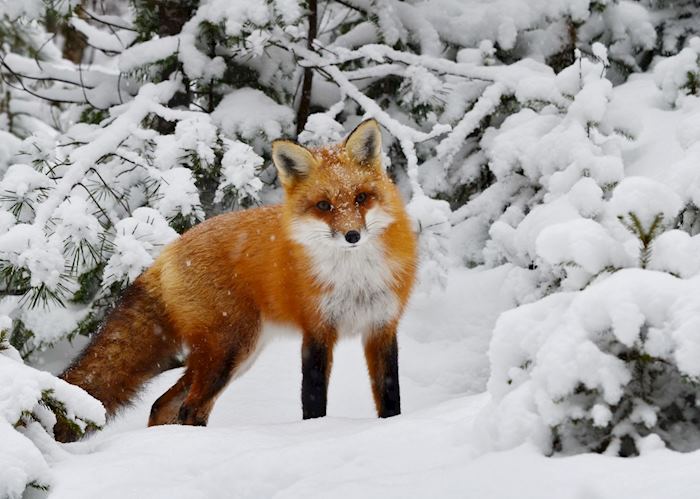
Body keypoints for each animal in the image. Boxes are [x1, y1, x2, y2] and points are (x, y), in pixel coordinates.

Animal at [54, 119, 417, 442]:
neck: (354, 277)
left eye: (361, 198)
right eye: (324, 205)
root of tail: (168, 250)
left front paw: (392, 428)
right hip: (230, 350)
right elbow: (313, 402)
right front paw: (314, 435)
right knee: (189, 408)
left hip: (232, 354)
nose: (352, 235)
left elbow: (391, 397)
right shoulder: (316, 330)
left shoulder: (382, 326)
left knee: (162, 404)